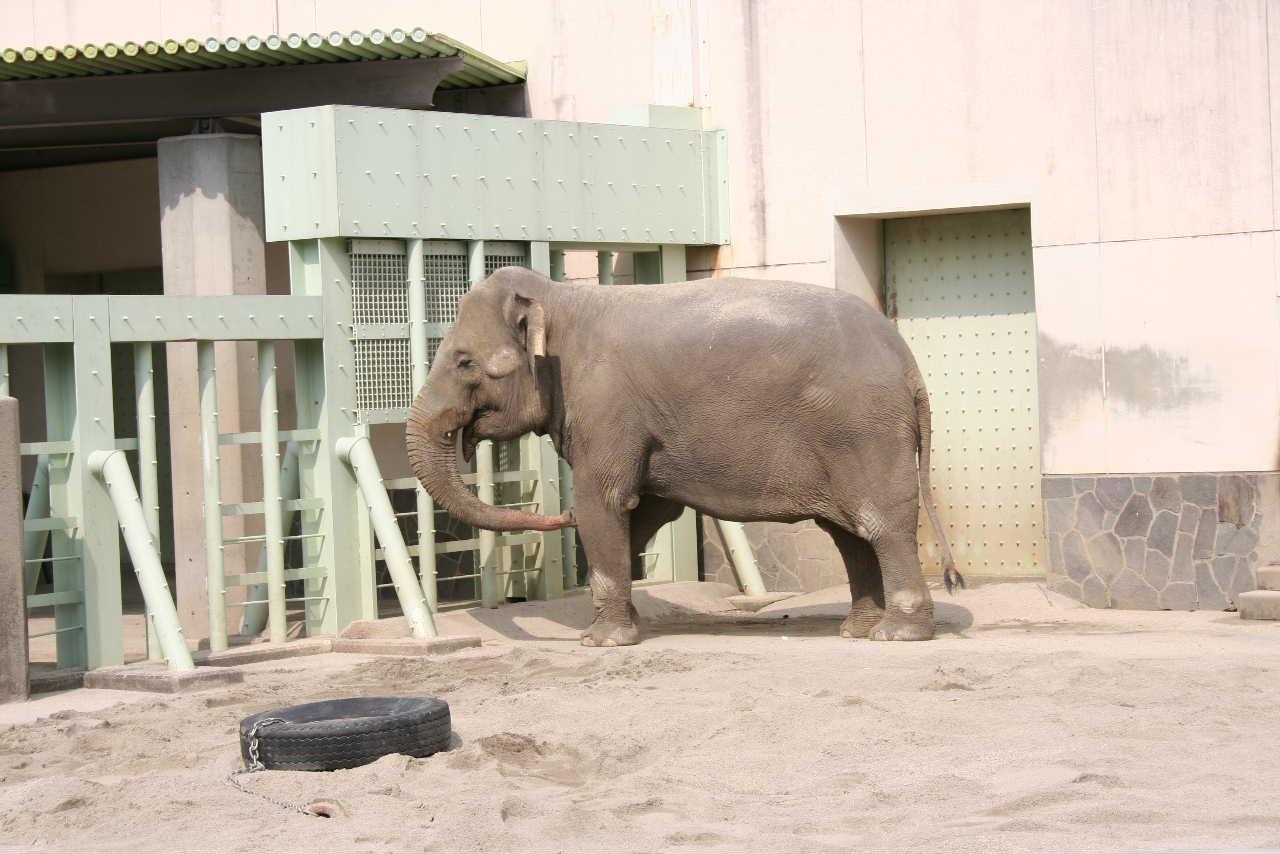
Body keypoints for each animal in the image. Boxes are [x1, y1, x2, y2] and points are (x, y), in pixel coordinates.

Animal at [405, 266, 962, 647]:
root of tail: (910, 367)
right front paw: (620, 625)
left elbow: (604, 502)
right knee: (848, 532)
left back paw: (895, 635)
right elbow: (647, 509)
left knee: (880, 525)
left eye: (464, 362)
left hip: (863, 430)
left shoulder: (606, 405)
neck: (561, 298)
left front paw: (600, 642)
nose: (556, 515)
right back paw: (856, 630)